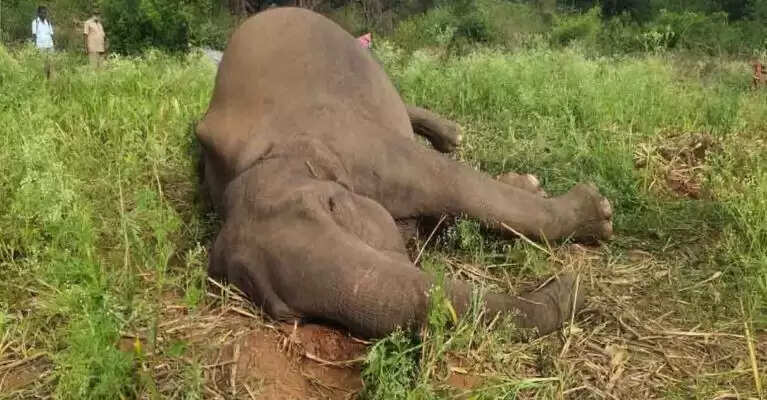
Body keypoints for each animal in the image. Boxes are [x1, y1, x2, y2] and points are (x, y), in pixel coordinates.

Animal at [195, 7, 613, 339]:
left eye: (332, 206)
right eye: (283, 311)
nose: (569, 282)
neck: (266, 155)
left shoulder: (361, 142)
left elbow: (454, 185)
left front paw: (600, 212)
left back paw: (454, 136)